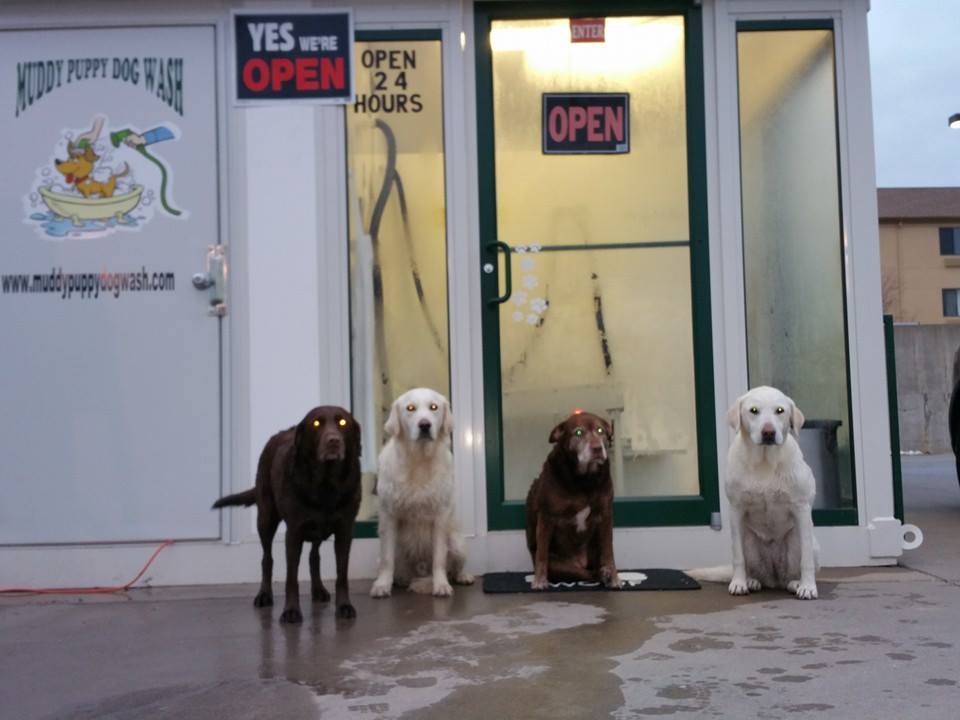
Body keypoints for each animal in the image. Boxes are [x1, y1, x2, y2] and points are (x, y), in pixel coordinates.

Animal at [368, 388, 472, 596]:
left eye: (434, 407)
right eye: (410, 408)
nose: (424, 425)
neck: (419, 461)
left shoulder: (440, 517)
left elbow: (439, 558)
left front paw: (441, 585)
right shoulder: (388, 516)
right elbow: (387, 560)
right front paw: (382, 585)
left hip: (457, 542)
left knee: (454, 567)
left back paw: (462, 576)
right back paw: (399, 580)